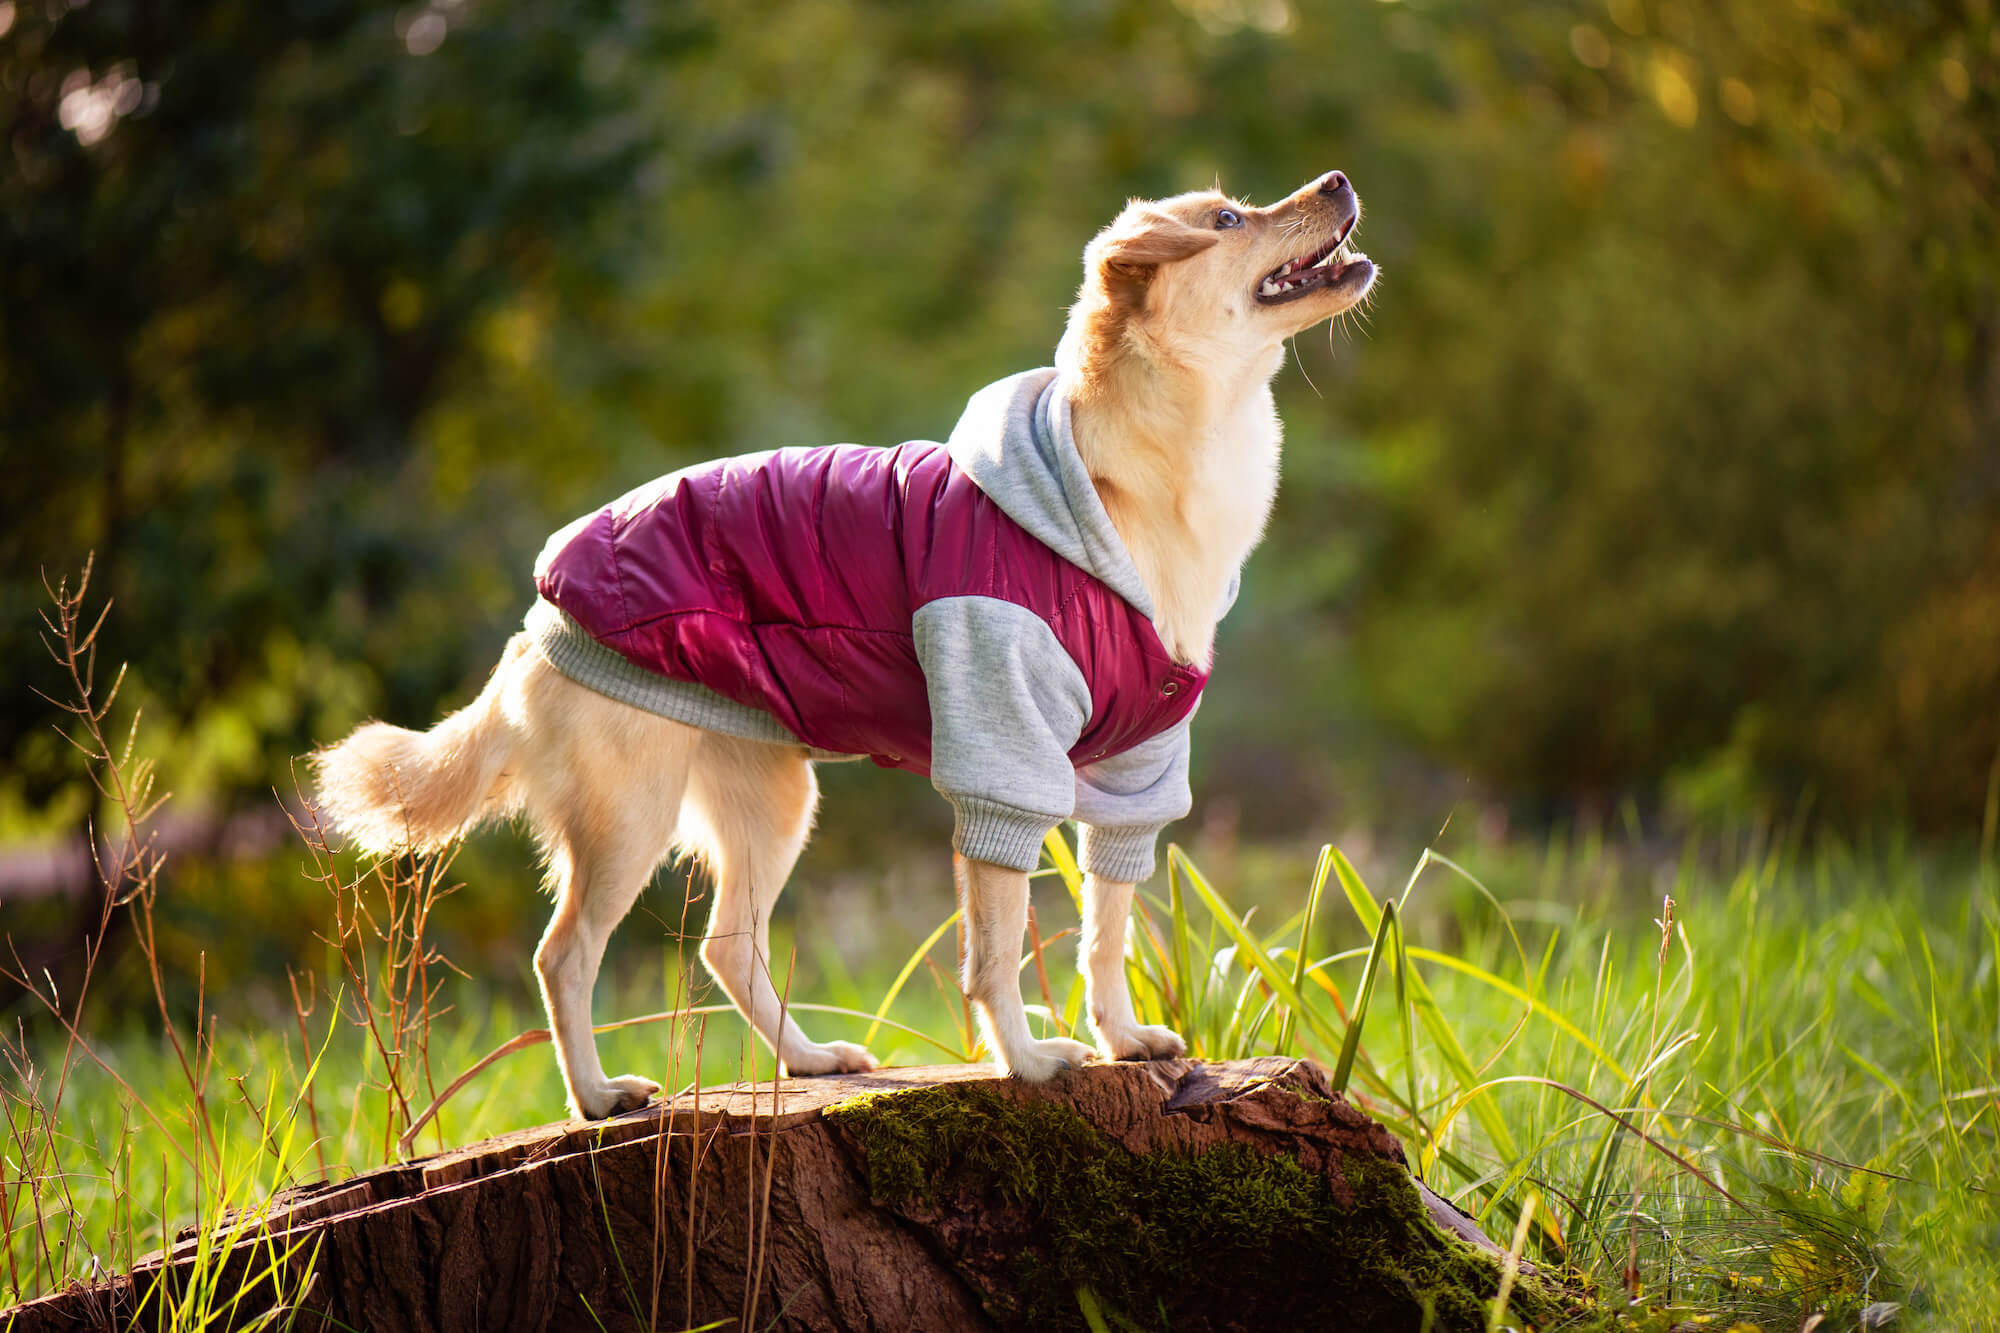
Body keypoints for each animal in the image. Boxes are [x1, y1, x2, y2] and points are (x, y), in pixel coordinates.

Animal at [312, 171, 1376, 1112]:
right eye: (1228, 218)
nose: (1336, 179)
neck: (1130, 481)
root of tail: (538, 623)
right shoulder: (1002, 762)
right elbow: (996, 950)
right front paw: (1030, 1062)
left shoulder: (1132, 777)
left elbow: (1104, 934)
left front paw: (1120, 1037)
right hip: (630, 816)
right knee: (565, 952)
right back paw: (599, 1096)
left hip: (773, 801)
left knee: (727, 944)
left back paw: (808, 1060)